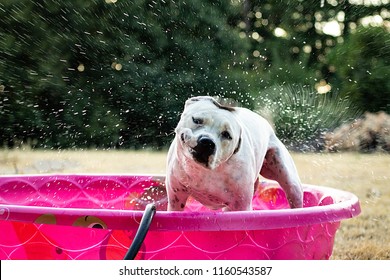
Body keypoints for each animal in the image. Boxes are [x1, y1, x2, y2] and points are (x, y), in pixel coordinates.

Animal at [166, 96, 304, 210]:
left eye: (227, 135)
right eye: (197, 120)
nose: (207, 142)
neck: (204, 171)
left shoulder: (241, 206)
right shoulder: (176, 200)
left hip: (288, 178)